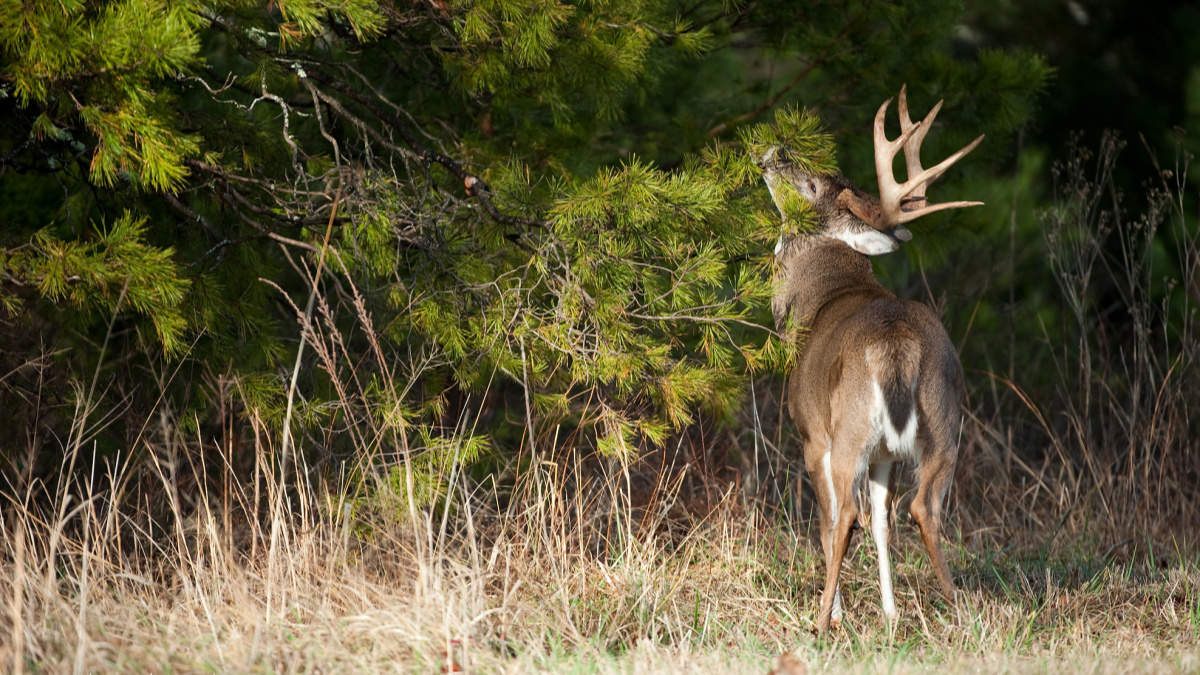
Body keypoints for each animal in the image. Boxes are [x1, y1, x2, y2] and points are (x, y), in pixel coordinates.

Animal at [758, 86, 984, 634]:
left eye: (810, 184)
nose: (777, 150)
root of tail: (894, 340)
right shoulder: (885, 453)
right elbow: (881, 521)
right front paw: (890, 611)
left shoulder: (811, 434)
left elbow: (829, 522)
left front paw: (839, 610)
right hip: (945, 417)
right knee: (922, 508)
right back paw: (959, 610)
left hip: (849, 428)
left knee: (845, 518)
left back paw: (819, 623)